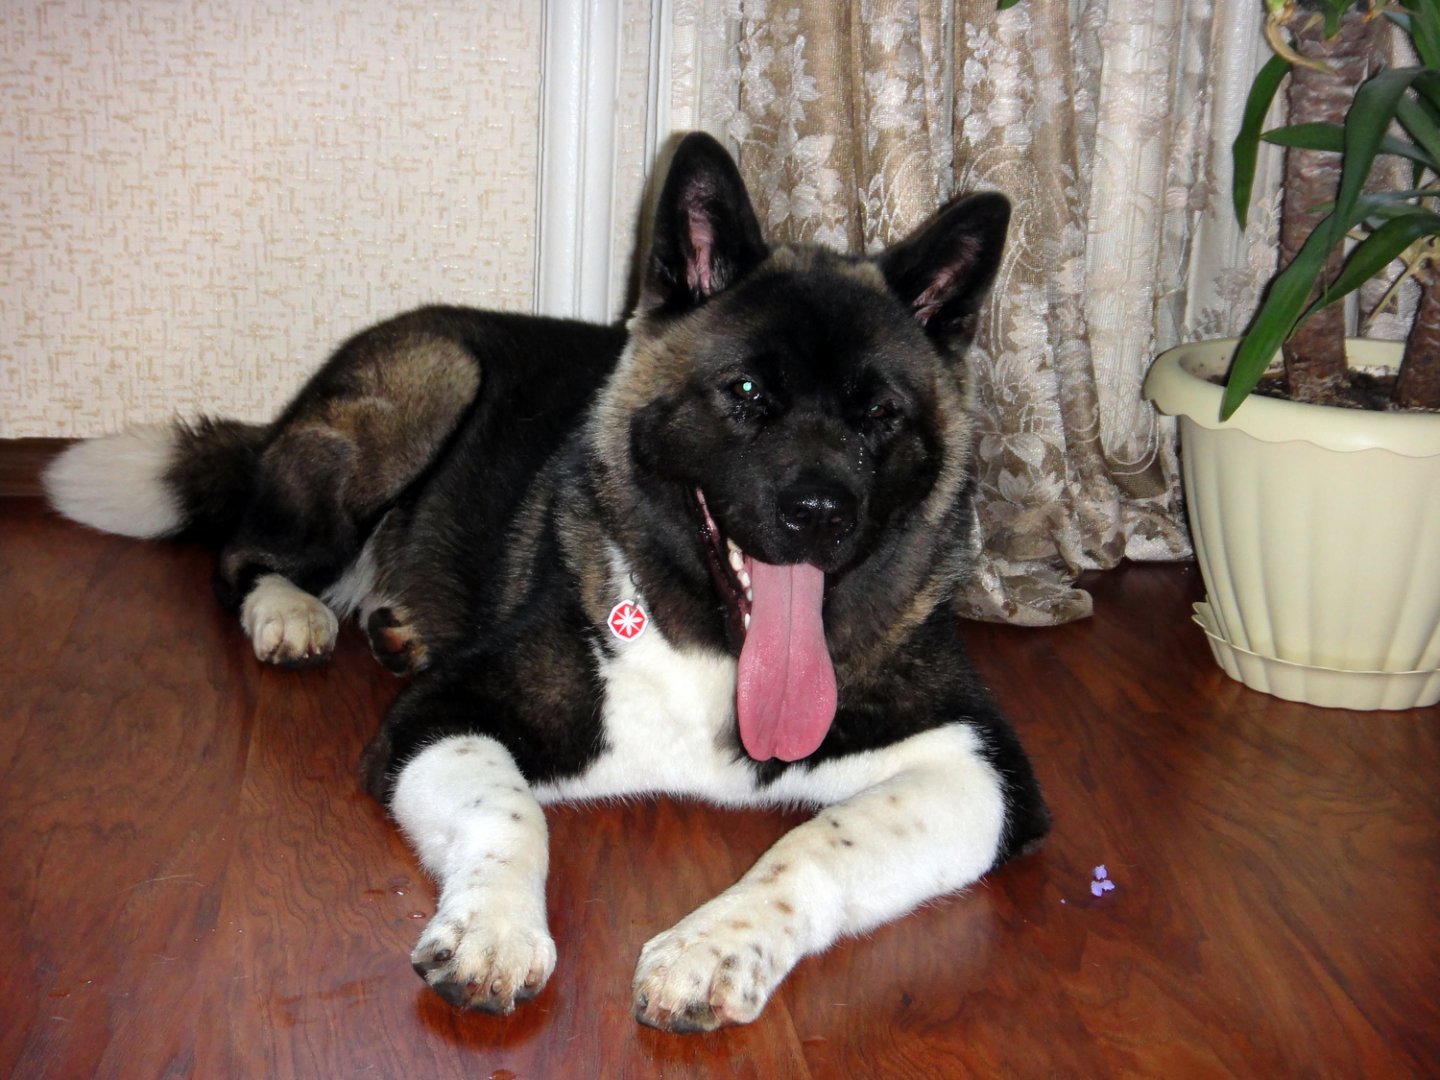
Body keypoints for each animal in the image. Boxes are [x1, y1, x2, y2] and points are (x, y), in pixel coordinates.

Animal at [44, 132, 1049, 1032]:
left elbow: (813, 844)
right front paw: (492, 931)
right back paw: (290, 612)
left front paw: (715, 946)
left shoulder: (985, 772)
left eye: (880, 414)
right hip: (430, 382)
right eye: (746, 394)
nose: (821, 512)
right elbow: (511, 810)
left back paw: (394, 624)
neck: (719, 643)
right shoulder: (440, 715)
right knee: (244, 554)